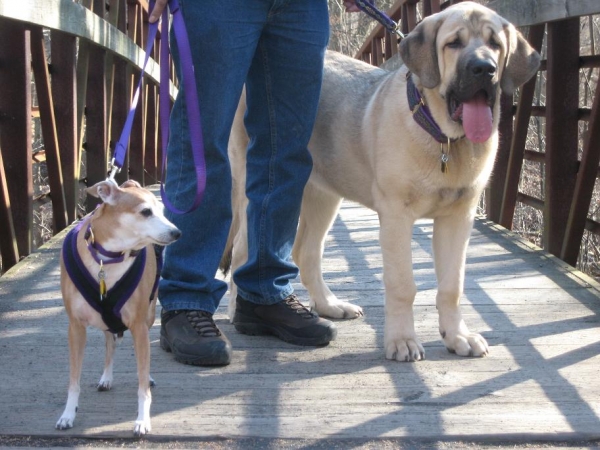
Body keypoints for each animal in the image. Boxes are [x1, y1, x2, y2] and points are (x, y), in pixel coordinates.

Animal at [56, 179, 180, 436]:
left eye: (163, 211)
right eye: (146, 212)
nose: (176, 232)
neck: (108, 258)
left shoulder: (139, 327)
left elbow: (142, 385)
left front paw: (142, 419)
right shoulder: (75, 328)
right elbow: (74, 380)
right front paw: (68, 414)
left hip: (148, 317)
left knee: (137, 359)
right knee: (109, 342)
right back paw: (106, 377)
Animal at [227, 1, 540, 362]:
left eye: (495, 44)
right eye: (454, 44)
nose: (484, 69)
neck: (443, 138)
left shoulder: (458, 217)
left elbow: (452, 286)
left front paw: (457, 336)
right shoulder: (396, 217)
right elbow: (403, 285)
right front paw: (402, 341)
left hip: (323, 194)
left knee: (306, 251)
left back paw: (330, 305)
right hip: (256, 184)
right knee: (241, 253)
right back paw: (238, 312)